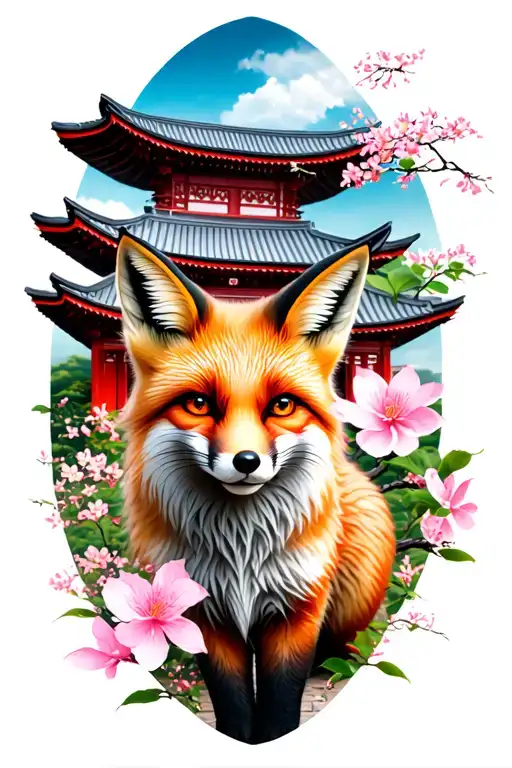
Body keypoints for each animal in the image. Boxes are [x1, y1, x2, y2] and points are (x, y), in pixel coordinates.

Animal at [115, 230, 396, 744]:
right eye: (199, 404)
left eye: (282, 405)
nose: (246, 462)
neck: (242, 550)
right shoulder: (202, 612)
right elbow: (234, 707)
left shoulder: (299, 607)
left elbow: (281, 707)